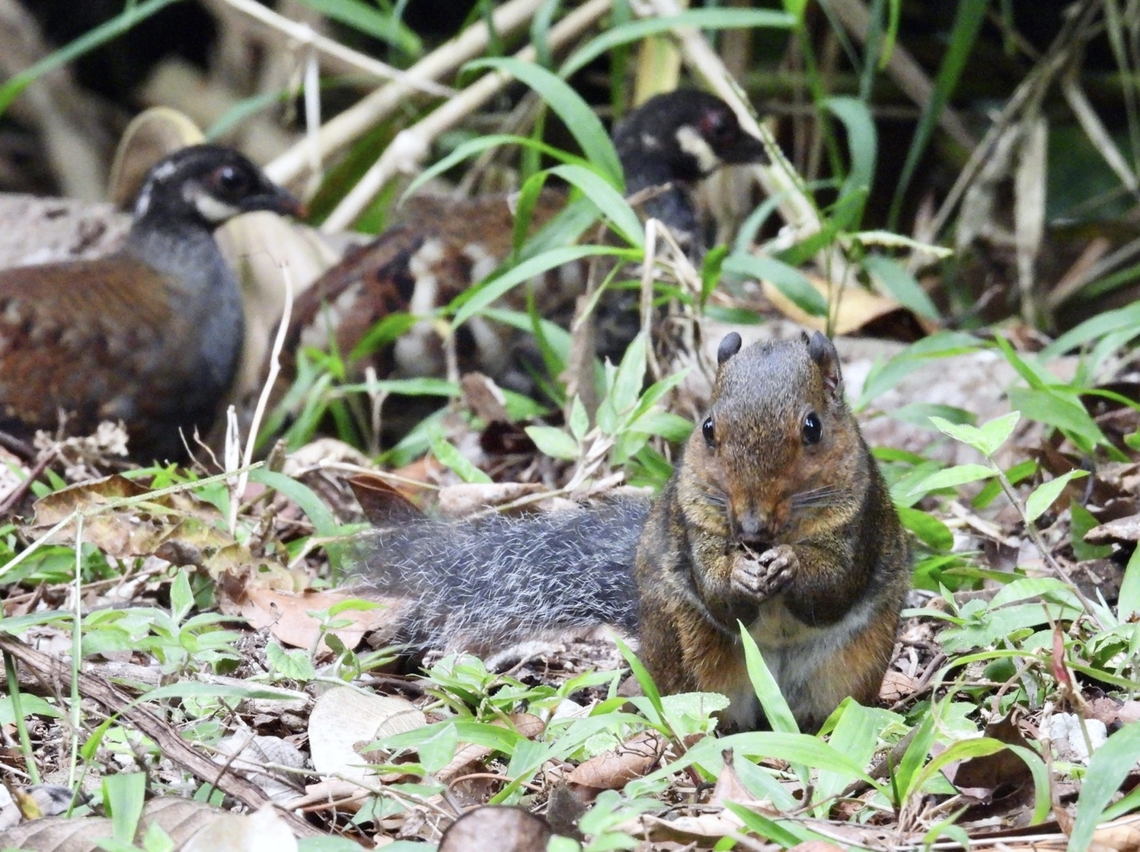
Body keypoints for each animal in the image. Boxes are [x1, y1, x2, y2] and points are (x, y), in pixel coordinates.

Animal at [357, 330, 911, 732]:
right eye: (708, 428)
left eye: (813, 427)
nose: (751, 529)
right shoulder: (693, 521)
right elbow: (716, 593)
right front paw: (741, 576)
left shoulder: (861, 519)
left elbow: (836, 587)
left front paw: (790, 564)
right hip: (691, 656)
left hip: (851, 667)